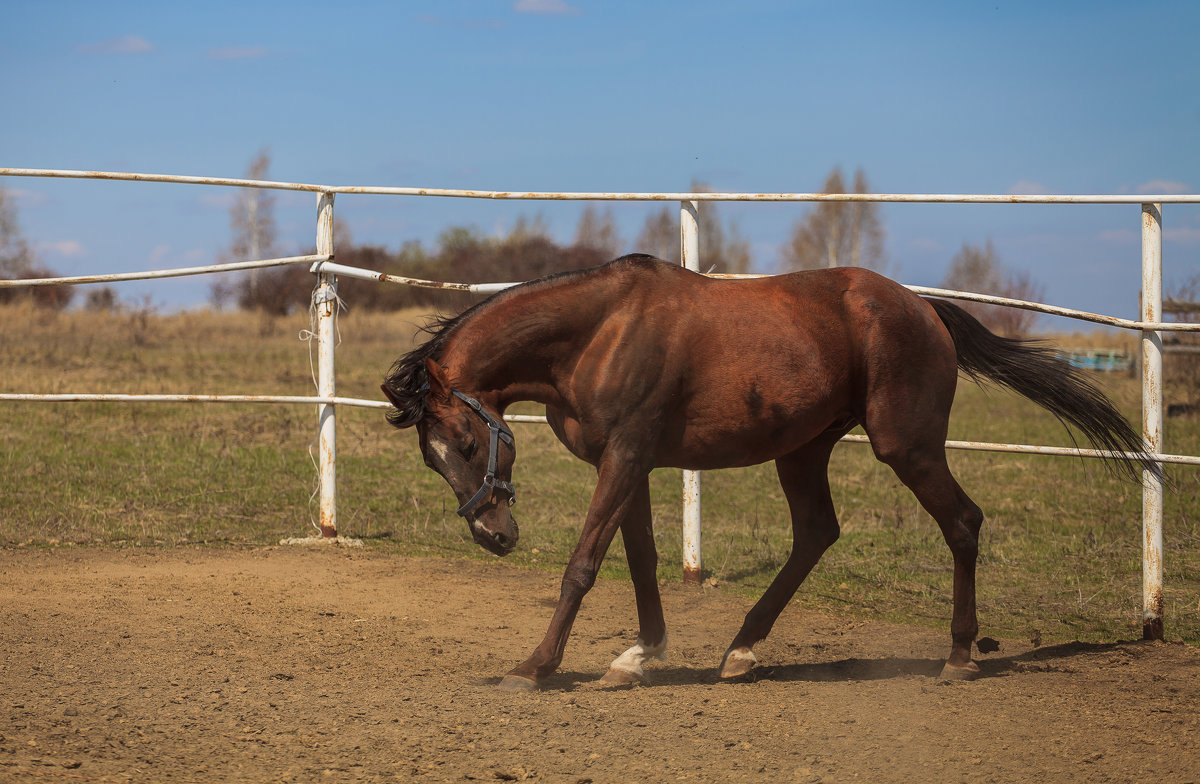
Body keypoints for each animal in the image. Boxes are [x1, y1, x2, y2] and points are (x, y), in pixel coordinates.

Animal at [381, 253, 1152, 686]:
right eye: (431, 457)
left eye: (467, 442)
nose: (494, 536)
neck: (599, 333)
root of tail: (922, 307)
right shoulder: (628, 462)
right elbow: (640, 560)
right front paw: (638, 658)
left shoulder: (625, 458)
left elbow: (584, 564)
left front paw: (535, 668)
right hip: (803, 449)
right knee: (817, 533)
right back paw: (741, 651)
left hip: (905, 445)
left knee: (962, 521)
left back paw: (959, 657)